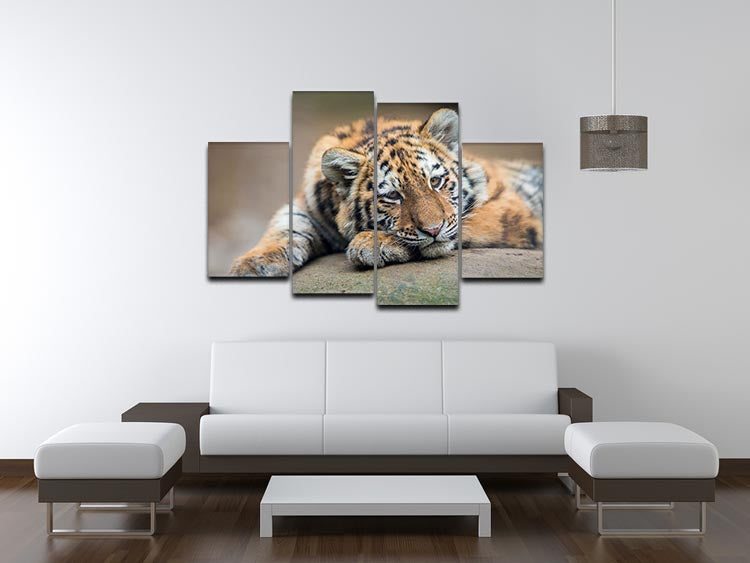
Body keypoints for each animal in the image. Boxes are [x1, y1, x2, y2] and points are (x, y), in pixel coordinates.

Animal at [229, 108, 542, 276]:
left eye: (436, 181)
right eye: (393, 196)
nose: (434, 230)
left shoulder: (509, 206)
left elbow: (467, 220)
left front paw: (372, 244)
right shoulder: (306, 206)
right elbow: (286, 225)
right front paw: (254, 263)